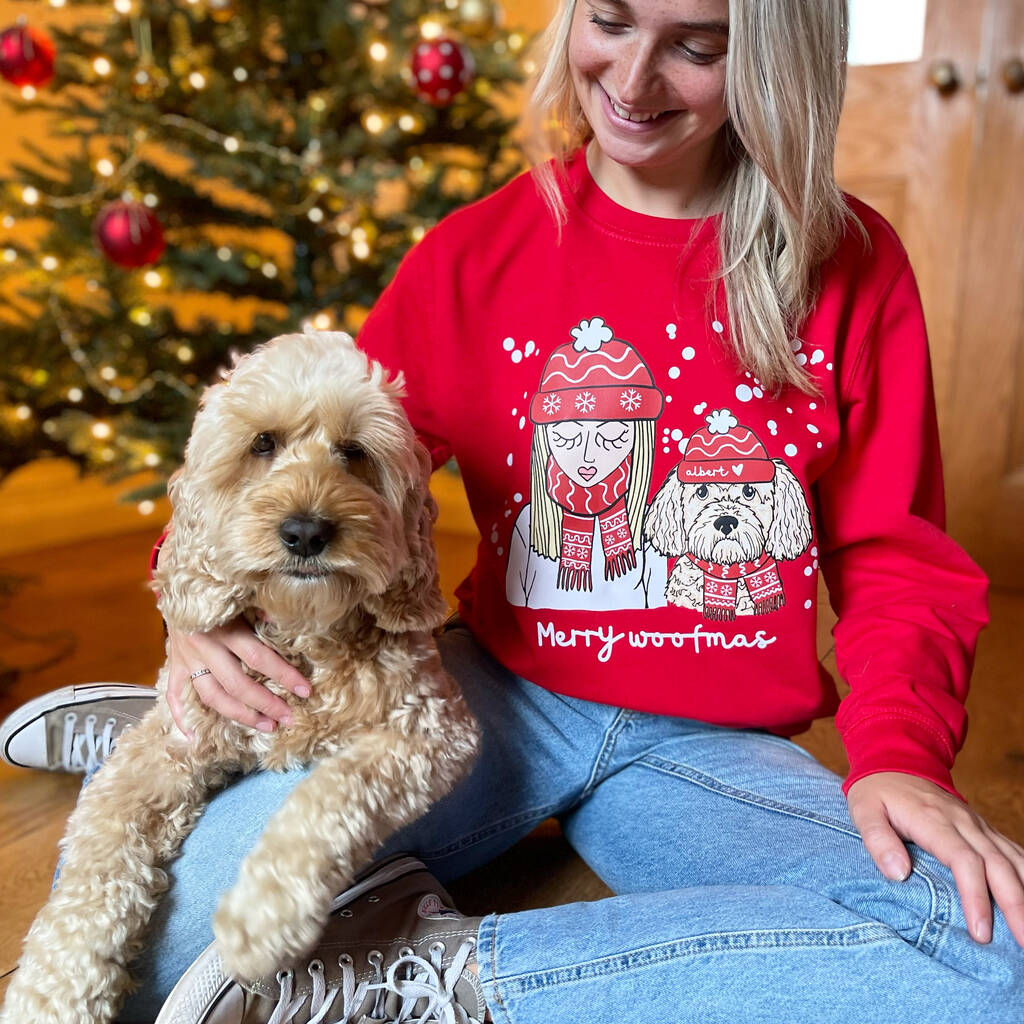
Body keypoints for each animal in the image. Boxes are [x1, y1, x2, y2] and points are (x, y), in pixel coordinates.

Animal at [2, 327, 481, 1024]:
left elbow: (329, 795)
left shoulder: (430, 728)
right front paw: (52, 993)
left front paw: (262, 917)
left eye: (354, 452)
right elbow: (96, 857)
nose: (306, 530)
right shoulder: (159, 752)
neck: (302, 634)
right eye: (263, 444)